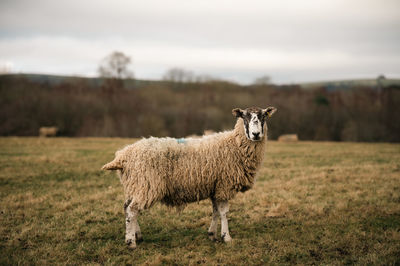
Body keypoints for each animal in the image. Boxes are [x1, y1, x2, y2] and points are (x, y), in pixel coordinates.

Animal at [102, 106, 278, 249]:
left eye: (263, 116)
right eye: (244, 117)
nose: (256, 134)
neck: (234, 144)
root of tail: (123, 156)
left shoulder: (215, 187)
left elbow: (215, 211)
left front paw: (212, 235)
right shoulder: (224, 185)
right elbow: (224, 213)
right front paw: (226, 237)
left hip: (135, 185)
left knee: (127, 207)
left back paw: (137, 235)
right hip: (146, 185)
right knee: (132, 210)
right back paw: (131, 242)